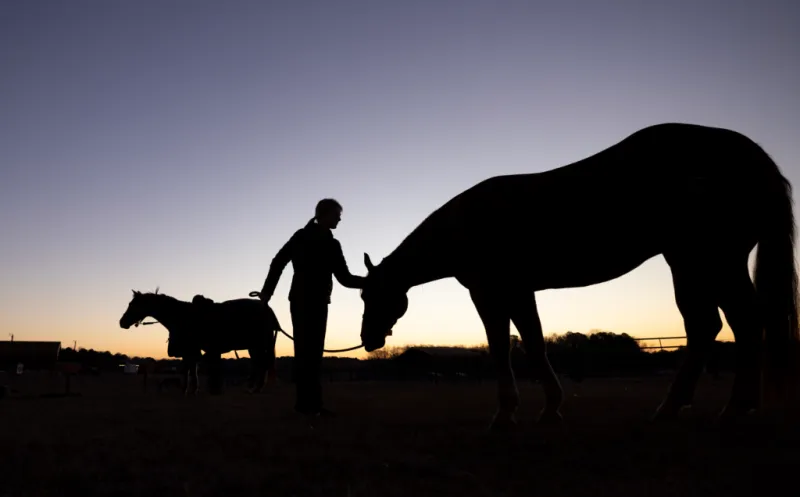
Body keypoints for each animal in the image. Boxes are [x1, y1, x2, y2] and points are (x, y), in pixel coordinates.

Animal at [119, 289, 283, 395]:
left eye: (132, 304)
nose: (122, 322)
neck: (182, 316)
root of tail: (267, 309)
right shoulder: (190, 351)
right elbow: (191, 369)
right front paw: (190, 389)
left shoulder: (189, 350)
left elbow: (189, 369)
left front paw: (188, 390)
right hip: (253, 347)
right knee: (259, 364)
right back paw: (253, 387)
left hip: (259, 345)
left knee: (262, 364)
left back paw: (257, 388)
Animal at [358, 122, 800, 430]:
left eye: (371, 296)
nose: (368, 339)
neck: (467, 225)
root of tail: (753, 157)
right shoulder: (520, 291)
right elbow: (535, 345)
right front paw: (550, 408)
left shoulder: (489, 292)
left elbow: (502, 349)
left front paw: (506, 414)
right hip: (695, 264)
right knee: (713, 326)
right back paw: (687, 407)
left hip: (709, 260)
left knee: (738, 323)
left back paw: (727, 407)